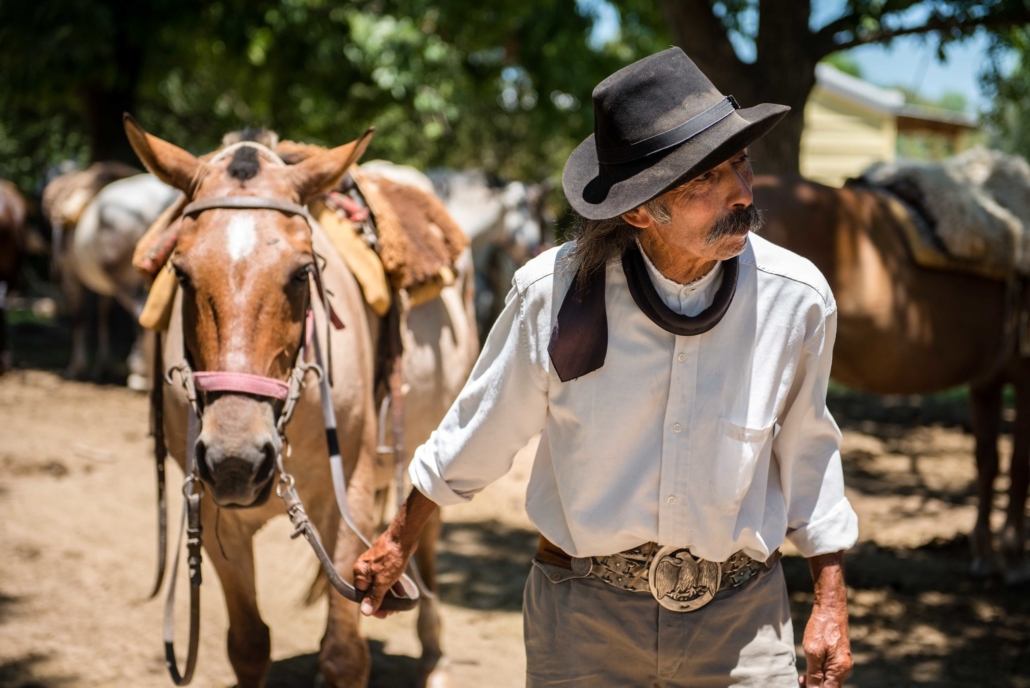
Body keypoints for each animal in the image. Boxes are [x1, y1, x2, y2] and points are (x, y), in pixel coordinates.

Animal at [122, 119, 475, 688]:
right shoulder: (214, 514)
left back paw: (435, 658)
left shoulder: (349, 494)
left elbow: (345, 654)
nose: (237, 461)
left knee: (430, 552)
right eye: (180, 274)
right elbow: (248, 645)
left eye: (302, 273)